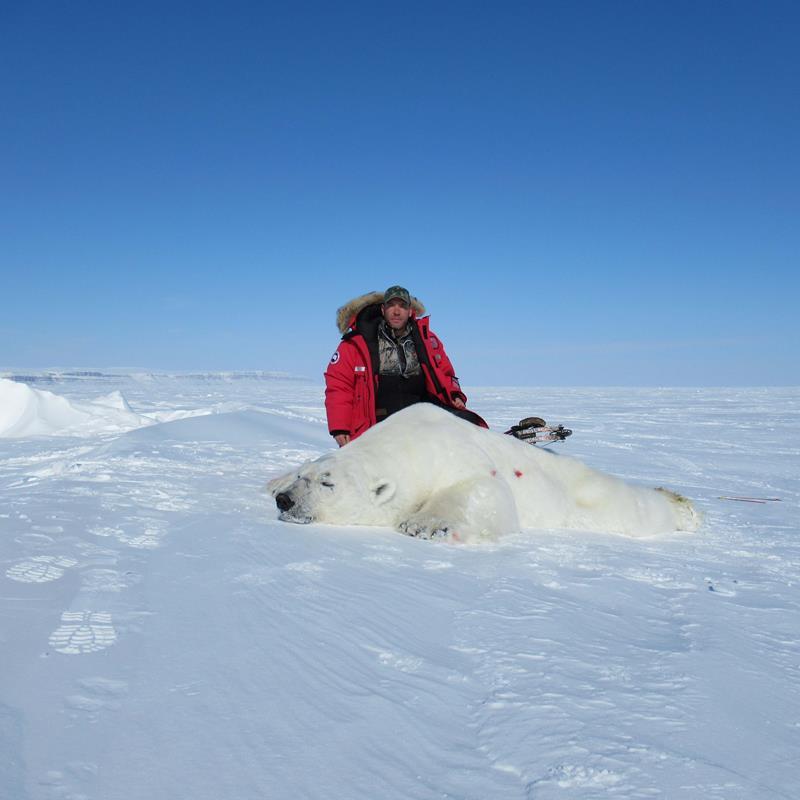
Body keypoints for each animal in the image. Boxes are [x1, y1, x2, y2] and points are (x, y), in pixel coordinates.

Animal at [266, 403, 700, 542]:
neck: (409, 443)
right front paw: (272, 480)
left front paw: (424, 525)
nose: (285, 501)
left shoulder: (456, 455)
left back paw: (683, 507)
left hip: (598, 503)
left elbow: (485, 491)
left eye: (328, 484)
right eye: (305, 475)